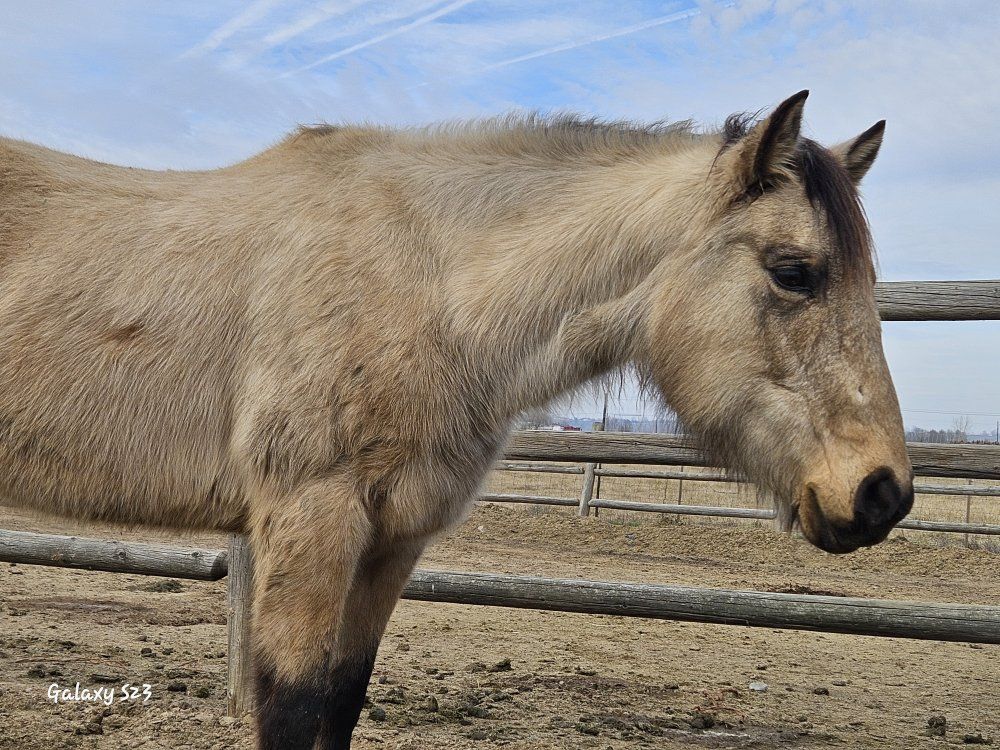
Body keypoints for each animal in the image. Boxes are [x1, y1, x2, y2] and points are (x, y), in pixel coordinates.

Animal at [0, 90, 913, 748]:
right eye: (794, 271)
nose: (882, 494)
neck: (430, 289)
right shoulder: (311, 521)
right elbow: (292, 711)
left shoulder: (392, 540)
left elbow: (340, 703)